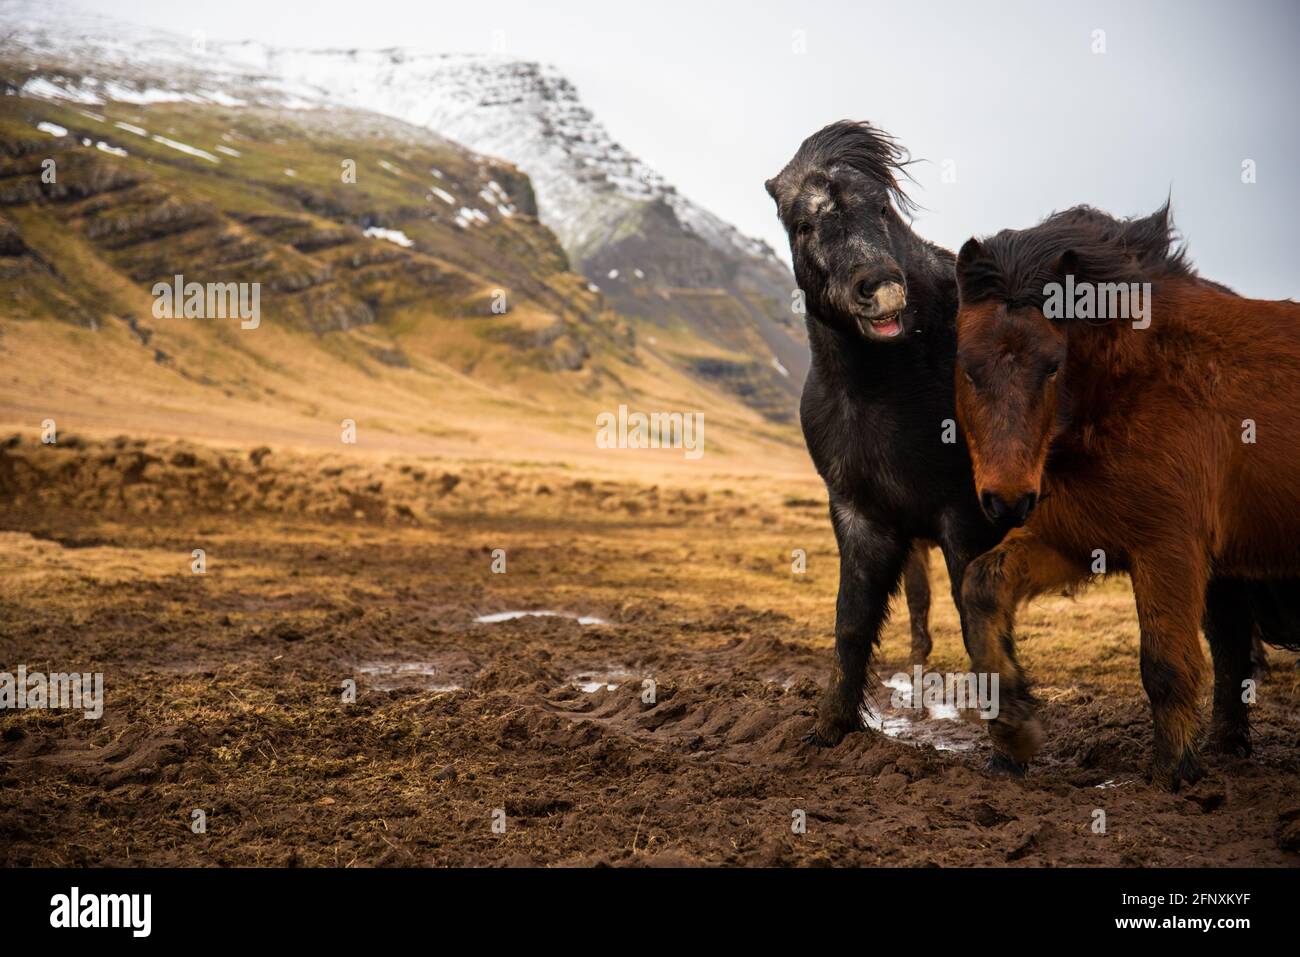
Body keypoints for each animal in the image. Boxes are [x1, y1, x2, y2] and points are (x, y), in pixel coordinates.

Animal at [759, 121, 1003, 748]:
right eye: (803, 225)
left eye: (883, 209)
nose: (882, 289)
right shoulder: (860, 514)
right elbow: (851, 621)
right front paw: (829, 728)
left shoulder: (962, 514)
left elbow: (978, 628)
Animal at [951, 200, 1294, 785]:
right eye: (968, 368)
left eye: (1053, 366)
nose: (1008, 500)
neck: (1130, 382)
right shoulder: (1074, 538)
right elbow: (982, 587)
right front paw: (1013, 735)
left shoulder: (1168, 549)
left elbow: (1165, 665)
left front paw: (1175, 772)